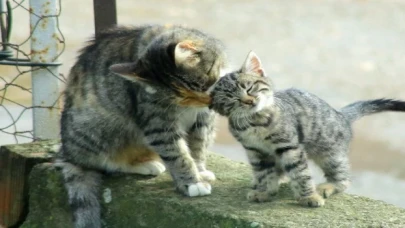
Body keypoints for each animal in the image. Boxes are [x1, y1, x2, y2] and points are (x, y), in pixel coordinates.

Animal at [56, 24, 227, 227]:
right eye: (184, 97)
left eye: (202, 86)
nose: (207, 102)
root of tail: (69, 154)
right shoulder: (158, 123)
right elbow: (178, 154)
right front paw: (193, 183)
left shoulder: (203, 119)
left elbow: (197, 146)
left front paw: (200, 171)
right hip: (105, 126)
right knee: (107, 162)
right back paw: (144, 165)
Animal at [208, 51, 404, 207]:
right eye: (232, 100)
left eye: (249, 88)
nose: (249, 101)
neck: (255, 122)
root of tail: (342, 115)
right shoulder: (256, 152)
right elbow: (264, 173)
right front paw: (263, 190)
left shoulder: (290, 147)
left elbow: (300, 173)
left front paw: (309, 197)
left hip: (330, 154)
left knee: (344, 179)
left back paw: (328, 186)